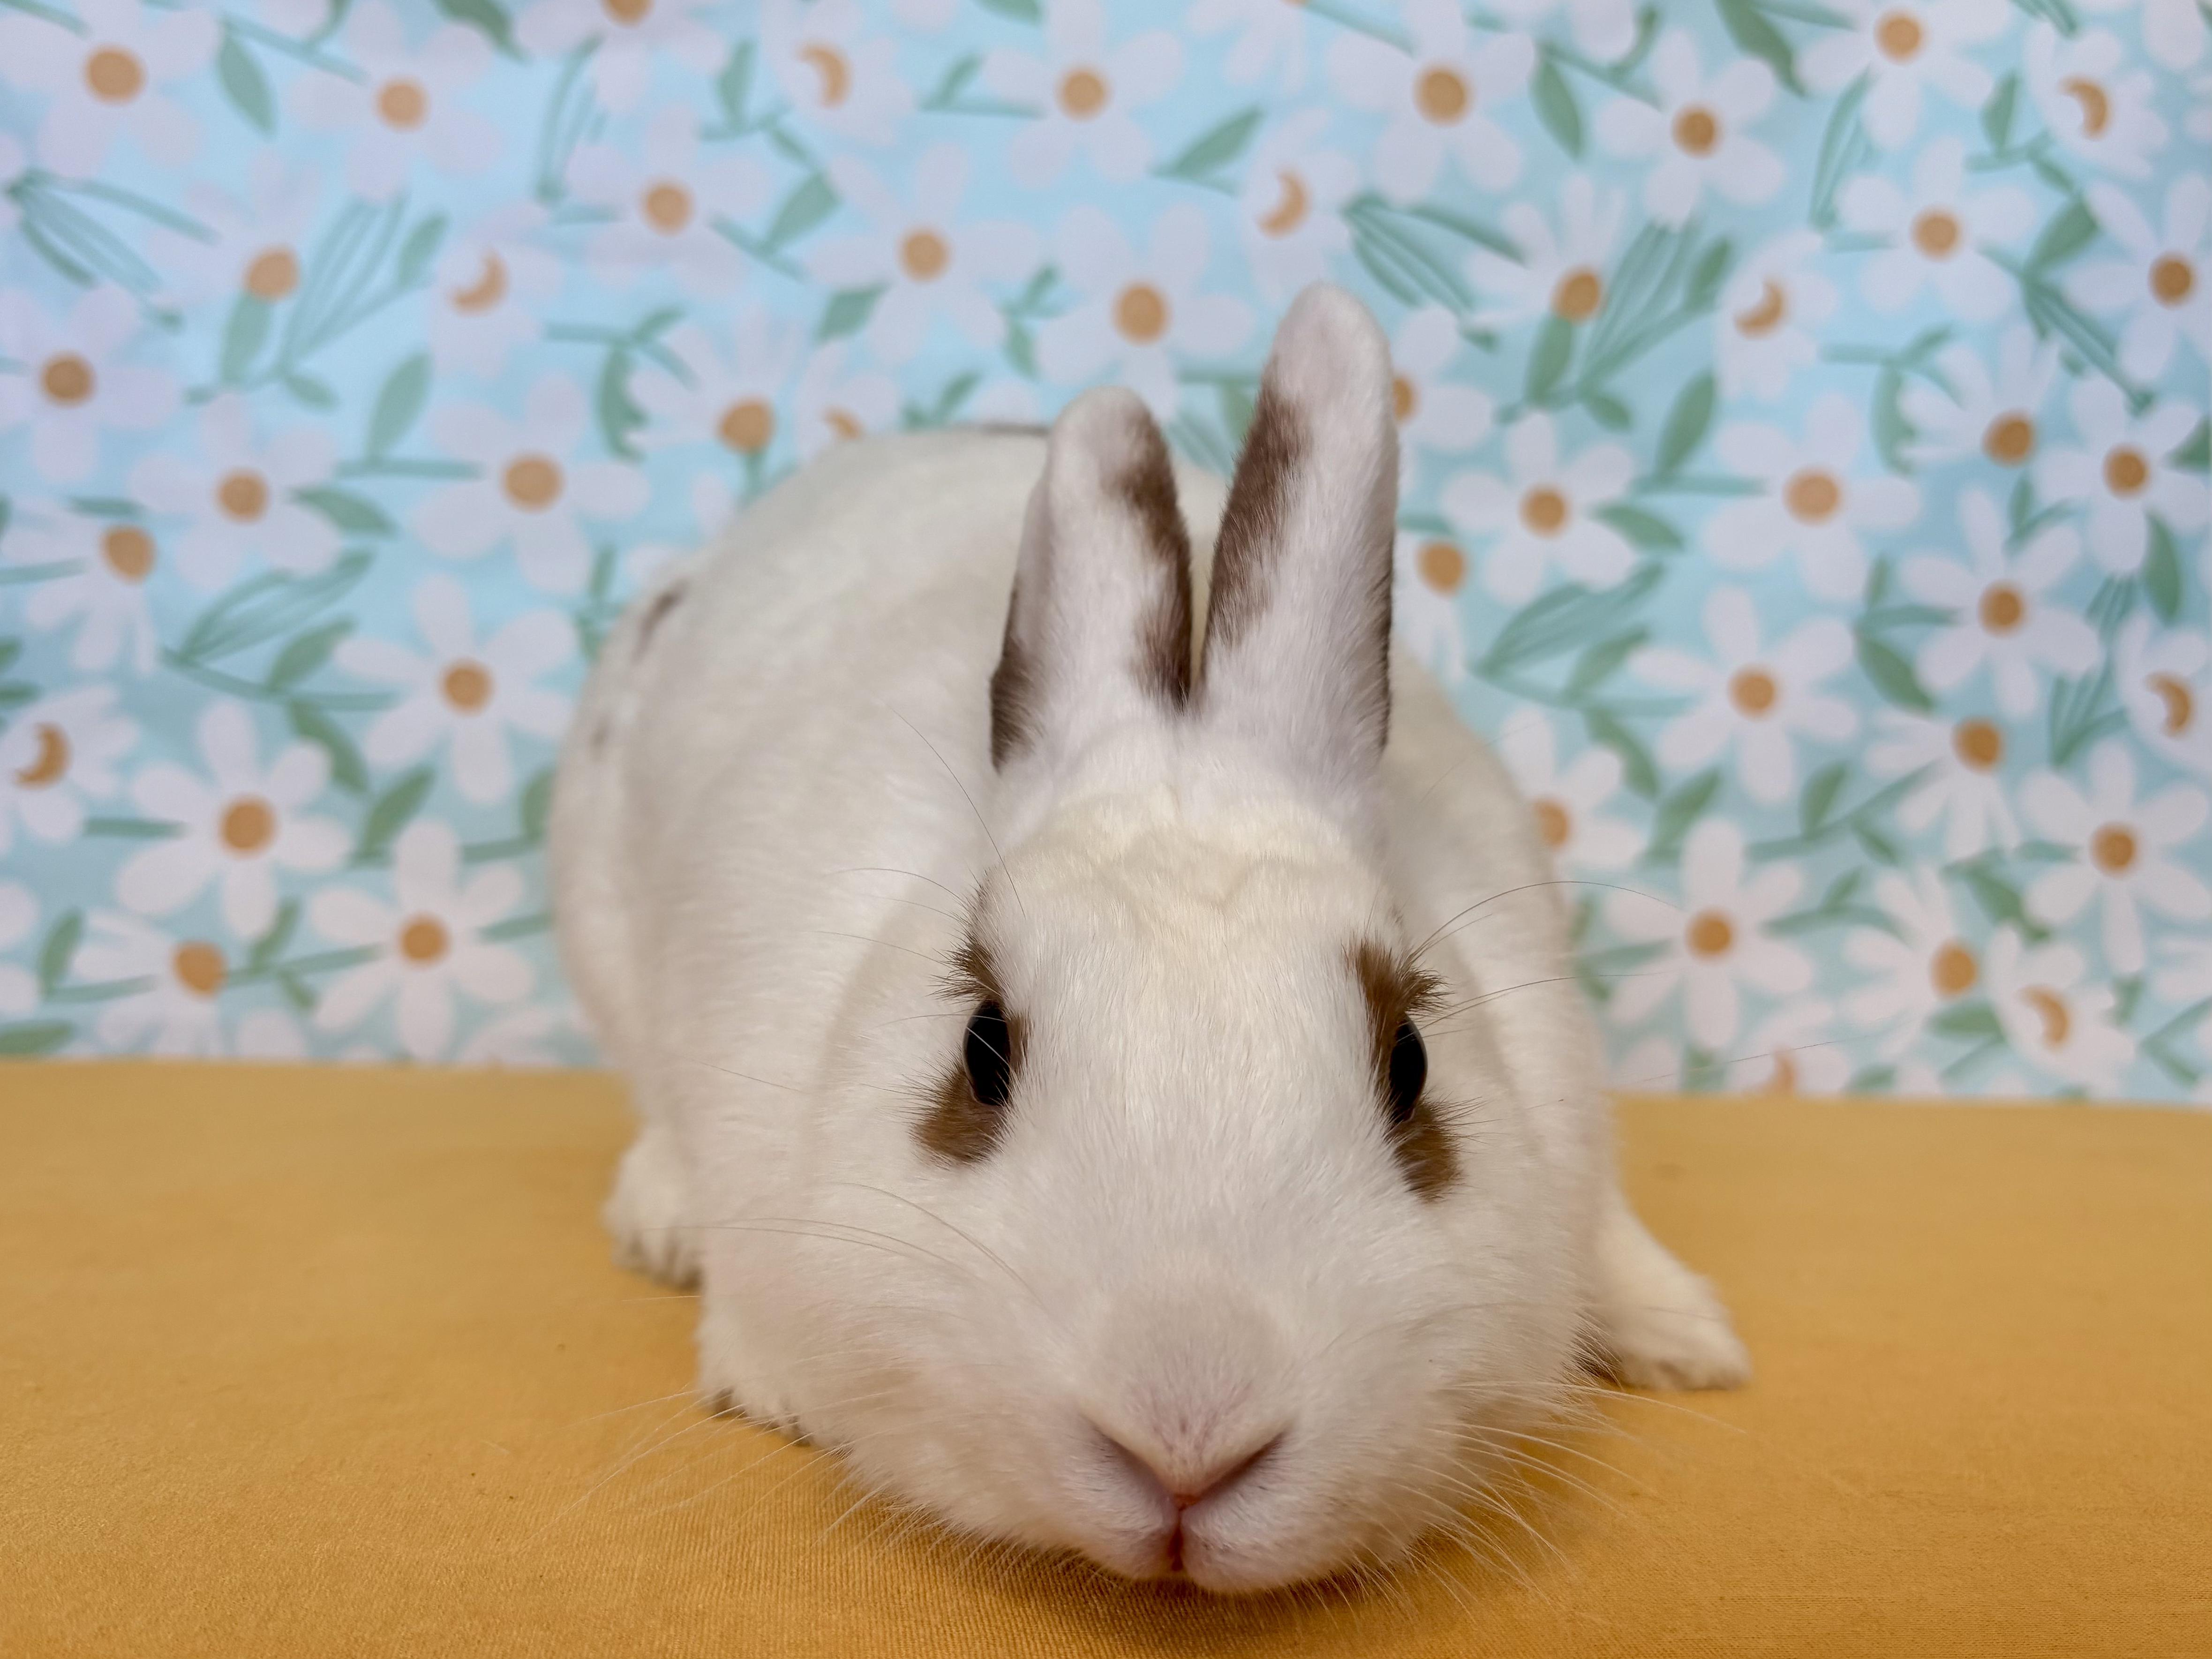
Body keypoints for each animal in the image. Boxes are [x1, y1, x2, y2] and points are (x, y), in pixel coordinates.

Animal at [549, 284, 1748, 1593]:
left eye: (1412, 1063)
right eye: (981, 1050)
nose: (1190, 1429)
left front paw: (1687, 1339)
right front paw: (769, 1382)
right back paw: (661, 1222)